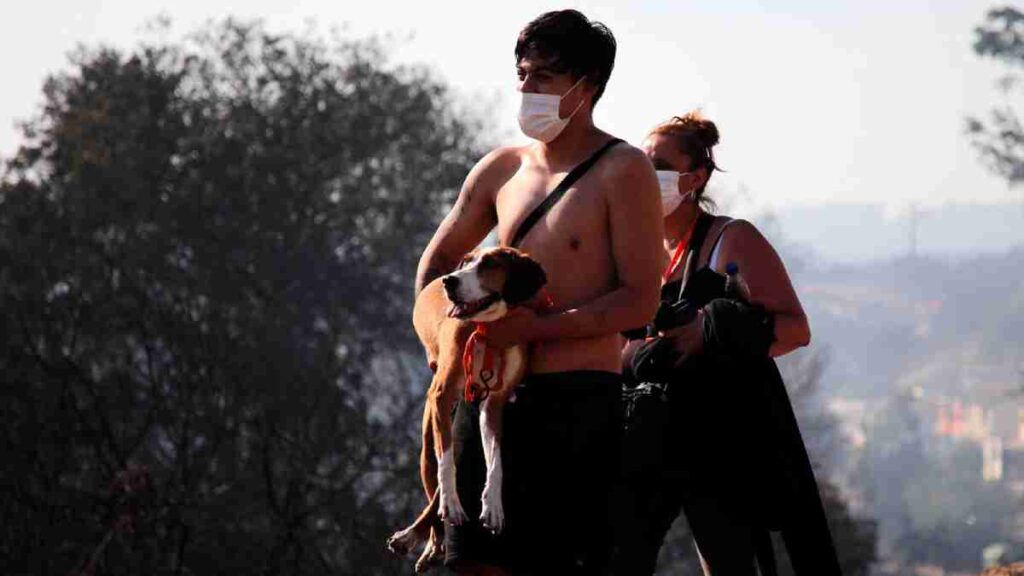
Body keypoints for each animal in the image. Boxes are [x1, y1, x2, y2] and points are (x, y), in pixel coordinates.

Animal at [385, 245, 544, 569]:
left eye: (490, 264)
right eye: (467, 261)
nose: (450, 281)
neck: (488, 327)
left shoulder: (494, 403)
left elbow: (495, 460)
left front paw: (493, 504)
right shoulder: (443, 395)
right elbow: (447, 463)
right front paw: (451, 505)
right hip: (429, 440)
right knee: (435, 472)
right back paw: (424, 538)